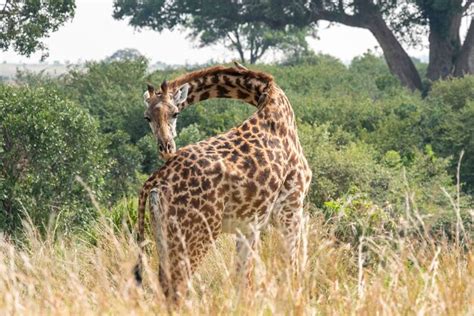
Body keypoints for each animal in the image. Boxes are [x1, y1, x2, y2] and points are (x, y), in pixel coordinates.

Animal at [133, 63, 312, 302]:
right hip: (197, 233)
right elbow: (290, 268)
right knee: (179, 286)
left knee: (165, 284)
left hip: (162, 232)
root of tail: (154, 181)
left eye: (175, 113)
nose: (166, 147)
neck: (270, 98)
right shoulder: (291, 205)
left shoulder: (248, 224)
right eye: (147, 117)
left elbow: (244, 280)